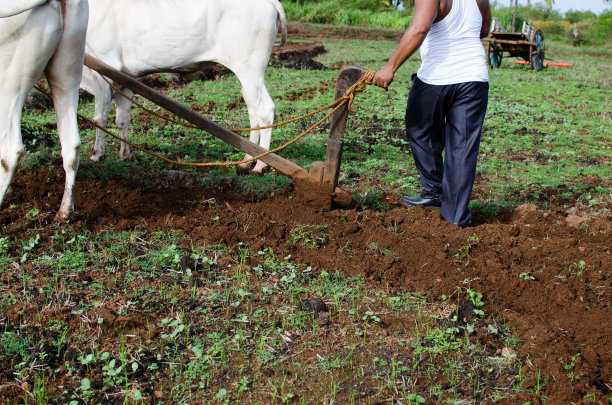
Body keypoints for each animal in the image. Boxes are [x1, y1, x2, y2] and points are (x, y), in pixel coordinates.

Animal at [80, 0, 286, 173]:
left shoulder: (102, 70)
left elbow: (99, 118)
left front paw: (97, 155)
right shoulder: (124, 80)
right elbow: (122, 120)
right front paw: (124, 154)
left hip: (250, 70)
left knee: (265, 110)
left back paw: (260, 165)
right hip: (247, 76)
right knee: (253, 112)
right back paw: (247, 160)